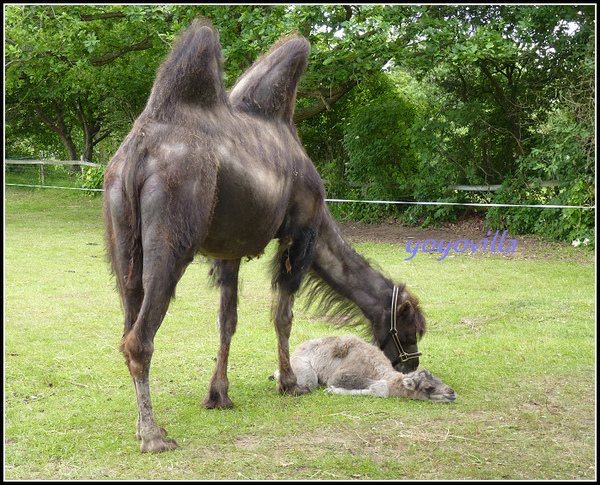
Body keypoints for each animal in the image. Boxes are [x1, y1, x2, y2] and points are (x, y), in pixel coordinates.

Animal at [274, 332, 458, 400]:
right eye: (428, 388)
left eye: (439, 380)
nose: (451, 392)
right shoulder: (343, 376)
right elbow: (378, 389)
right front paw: (331, 390)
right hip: (304, 366)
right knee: (308, 381)